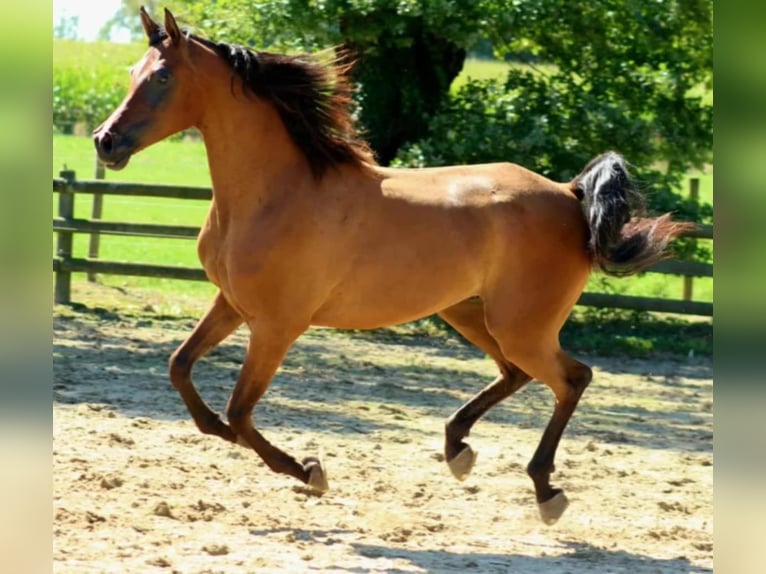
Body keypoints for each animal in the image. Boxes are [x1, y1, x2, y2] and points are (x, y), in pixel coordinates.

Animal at [93, 7, 693, 525]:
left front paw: (308, 471)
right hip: (469, 313)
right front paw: (223, 433)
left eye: (162, 77)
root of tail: (569, 195)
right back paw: (457, 447)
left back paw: (545, 489)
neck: (273, 195)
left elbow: (241, 411)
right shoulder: (231, 304)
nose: (105, 142)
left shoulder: (278, 325)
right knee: (517, 374)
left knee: (572, 378)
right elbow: (181, 369)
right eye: (131, 72)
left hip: (520, 324)